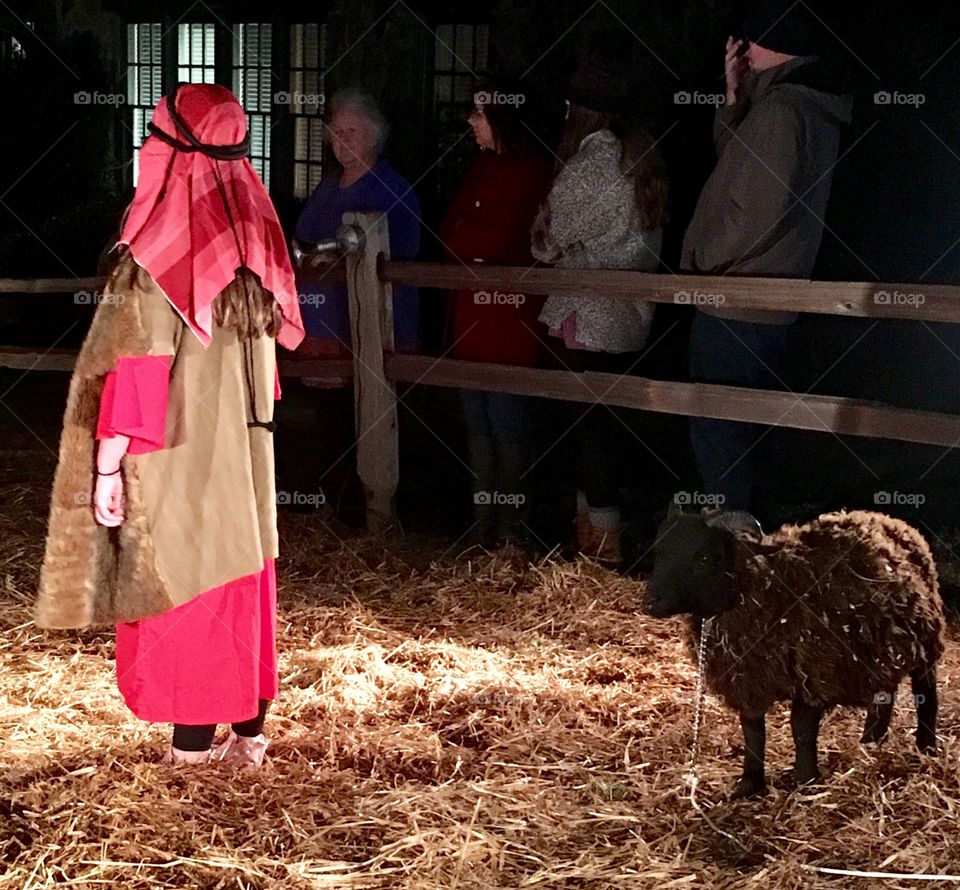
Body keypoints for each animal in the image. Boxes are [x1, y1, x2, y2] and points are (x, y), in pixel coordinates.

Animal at [644, 506, 944, 796]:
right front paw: (750, 784)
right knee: (884, 693)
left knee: (925, 693)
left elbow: (801, 728)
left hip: (926, 640)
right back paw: (870, 743)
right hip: (880, 649)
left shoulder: (812, 672)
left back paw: (925, 746)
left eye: (704, 557)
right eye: (659, 551)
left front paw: (806, 781)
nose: (650, 601)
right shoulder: (749, 679)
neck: (760, 588)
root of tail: (891, 521)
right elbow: (752, 730)